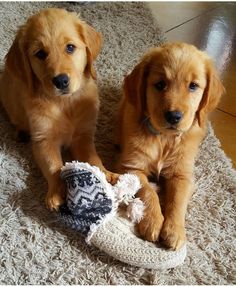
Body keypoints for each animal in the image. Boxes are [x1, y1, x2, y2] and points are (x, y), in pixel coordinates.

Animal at [0, 8, 118, 210]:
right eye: (40, 54)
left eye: (70, 47)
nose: (61, 81)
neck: (65, 104)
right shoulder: (44, 139)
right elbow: (53, 165)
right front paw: (56, 192)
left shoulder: (83, 135)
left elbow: (93, 158)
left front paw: (105, 173)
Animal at [118, 42, 225, 250]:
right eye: (160, 85)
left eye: (193, 86)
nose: (174, 116)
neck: (165, 139)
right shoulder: (132, 167)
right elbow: (148, 190)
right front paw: (153, 221)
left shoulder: (182, 174)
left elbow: (177, 201)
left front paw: (174, 231)